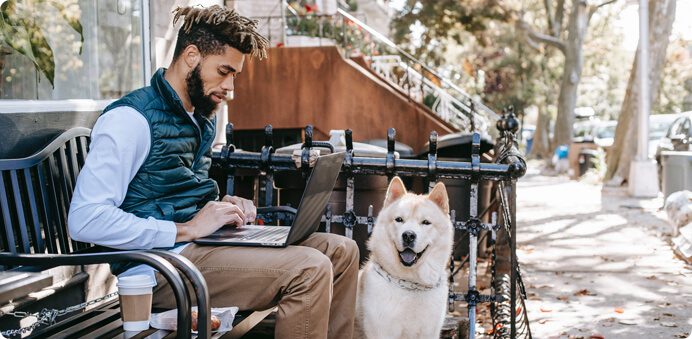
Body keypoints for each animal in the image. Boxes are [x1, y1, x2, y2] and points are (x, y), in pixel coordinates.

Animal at [356, 177, 454, 338]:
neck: (410, 283)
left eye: (426, 222)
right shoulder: (381, 332)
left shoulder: (429, 332)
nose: (408, 235)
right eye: (399, 219)